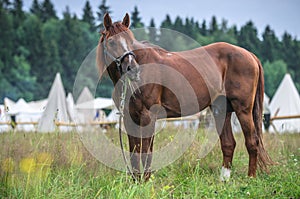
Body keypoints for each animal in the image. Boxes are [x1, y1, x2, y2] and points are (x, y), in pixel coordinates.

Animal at [96, 12, 274, 180]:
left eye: (131, 41)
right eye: (111, 42)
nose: (132, 69)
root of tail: (250, 55)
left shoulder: (148, 116)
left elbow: (146, 152)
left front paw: (145, 182)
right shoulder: (130, 118)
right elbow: (135, 152)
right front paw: (136, 182)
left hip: (243, 109)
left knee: (252, 142)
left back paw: (250, 178)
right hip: (221, 110)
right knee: (228, 143)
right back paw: (224, 180)